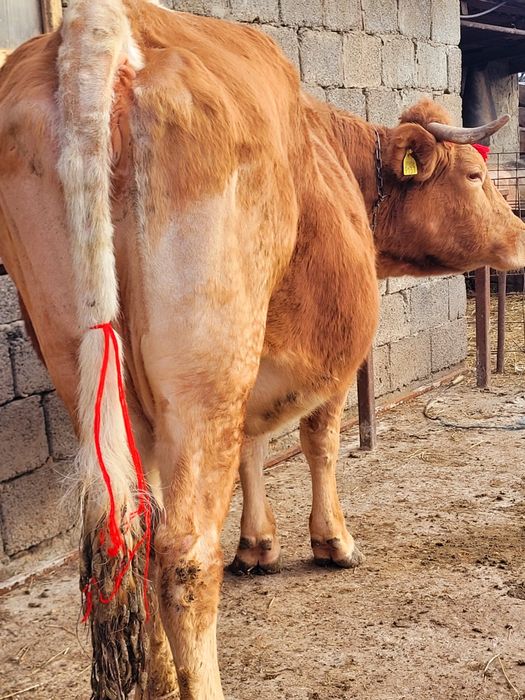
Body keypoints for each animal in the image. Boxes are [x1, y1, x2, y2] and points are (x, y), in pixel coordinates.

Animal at [0, 1, 523, 698]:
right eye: (474, 175)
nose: (520, 234)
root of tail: (101, 24)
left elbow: (252, 448)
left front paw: (257, 546)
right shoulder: (334, 358)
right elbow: (318, 442)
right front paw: (332, 543)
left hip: (91, 368)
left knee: (133, 534)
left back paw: (158, 680)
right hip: (205, 368)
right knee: (185, 557)